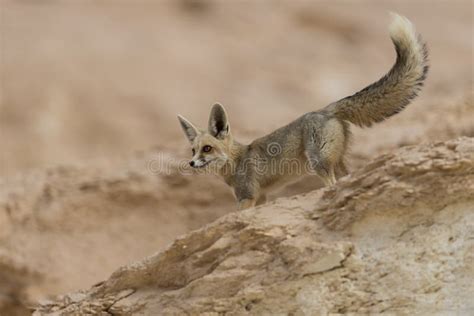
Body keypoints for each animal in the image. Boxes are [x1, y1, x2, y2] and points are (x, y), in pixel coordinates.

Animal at [178, 13, 430, 210]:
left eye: (207, 149)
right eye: (193, 150)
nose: (191, 163)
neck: (236, 161)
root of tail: (326, 109)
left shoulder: (246, 197)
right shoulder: (262, 197)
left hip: (319, 162)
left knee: (332, 185)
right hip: (338, 163)